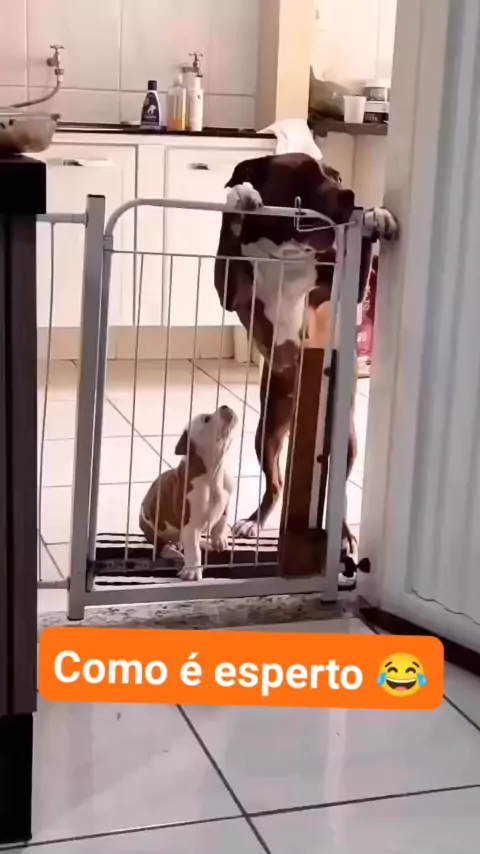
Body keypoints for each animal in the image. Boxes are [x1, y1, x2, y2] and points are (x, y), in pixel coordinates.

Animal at [139, 405, 238, 581]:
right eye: (207, 419)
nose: (224, 406)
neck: (213, 472)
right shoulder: (189, 524)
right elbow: (193, 549)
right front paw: (192, 571)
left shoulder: (227, 498)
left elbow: (222, 520)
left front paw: (219, 540)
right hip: (152, 529)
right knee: (163, 547)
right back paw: (174, 552)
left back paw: (204, 543)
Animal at [214, 152, 397, 547]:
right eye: (304, 175)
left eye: (338, 176)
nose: (350, 194)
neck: (287, 250)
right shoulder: (230, 289)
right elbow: (228, 237)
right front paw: (240, 196)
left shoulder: (342, 288)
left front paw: (374, 217)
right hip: (267, 433)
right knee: (277, 483)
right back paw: (254, 521)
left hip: (346, 441)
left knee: (336, 494)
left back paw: (342, 535)